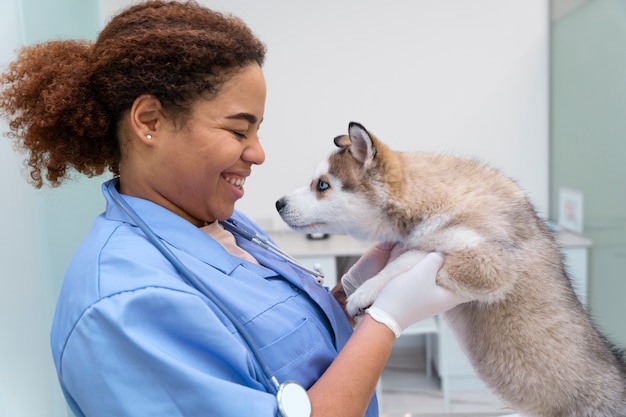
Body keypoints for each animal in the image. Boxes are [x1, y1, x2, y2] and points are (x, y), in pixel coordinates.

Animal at [276, 121, 624, 416]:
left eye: (322, 185)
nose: (279, 203)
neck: (433, 197)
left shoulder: (488, 263)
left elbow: (409, 259)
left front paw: (366, 290)